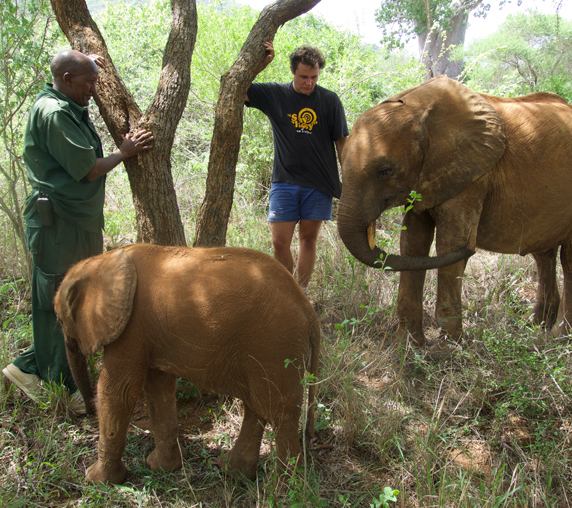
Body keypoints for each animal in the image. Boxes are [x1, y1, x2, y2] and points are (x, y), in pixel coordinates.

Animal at [54, 244, 320, 486]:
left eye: (60, 319)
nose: (85, 412)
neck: (102, 260)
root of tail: (307, 307)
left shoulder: (130, 329)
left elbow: (118, 391)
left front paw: (96, 480)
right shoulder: (148, 332)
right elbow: (158, 386)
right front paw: (161, 467)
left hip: (276, 344)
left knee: (280, 413)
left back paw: (283, 489)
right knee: (257, 406)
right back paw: (232, 473)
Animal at [338, 74, 572, 346]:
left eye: (386, 171)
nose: (473, 246)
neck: (418, 109)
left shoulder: (472, 175)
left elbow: (450, 242)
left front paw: (447, 347)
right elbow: (413, 241)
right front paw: (407, 344)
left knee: (568, 261)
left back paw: (558, 336)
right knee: (544, 255)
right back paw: (537, 325)